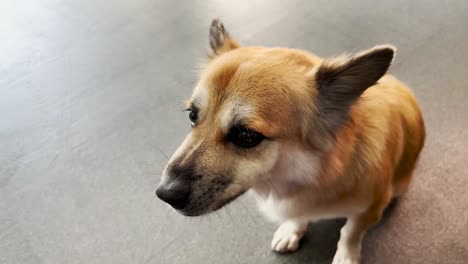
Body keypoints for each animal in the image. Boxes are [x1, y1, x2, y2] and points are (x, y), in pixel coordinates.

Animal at [155, 19, 426, 264]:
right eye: (192, 115)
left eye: (247, 136)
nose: (164, 194)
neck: (311, 176)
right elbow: (298, 216)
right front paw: (292, 230)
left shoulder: (369, 209)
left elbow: (349, 233)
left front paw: (346, 256)